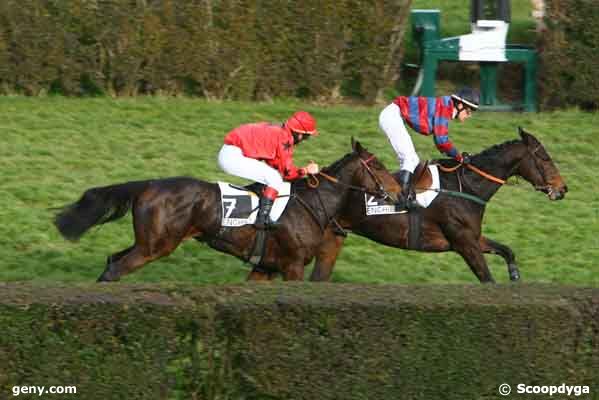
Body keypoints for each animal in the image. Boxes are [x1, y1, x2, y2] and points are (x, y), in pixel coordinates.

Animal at [54, 141, 400, 282]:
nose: (399, 191)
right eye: (380, 166)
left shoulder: (266, 267)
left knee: (112, 261)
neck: (313, 204)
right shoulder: (292, 266)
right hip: (156, 247)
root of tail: (149, 184)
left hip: (147, 242)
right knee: (116, 269)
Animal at [312, 129, 568, 284]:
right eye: (545, 158)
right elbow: (487, 279)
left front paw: (515, 275)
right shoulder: (464, 243)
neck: (466, 187)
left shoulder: (473, 238)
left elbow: (506, 250)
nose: (563, 188)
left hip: (334, 236)